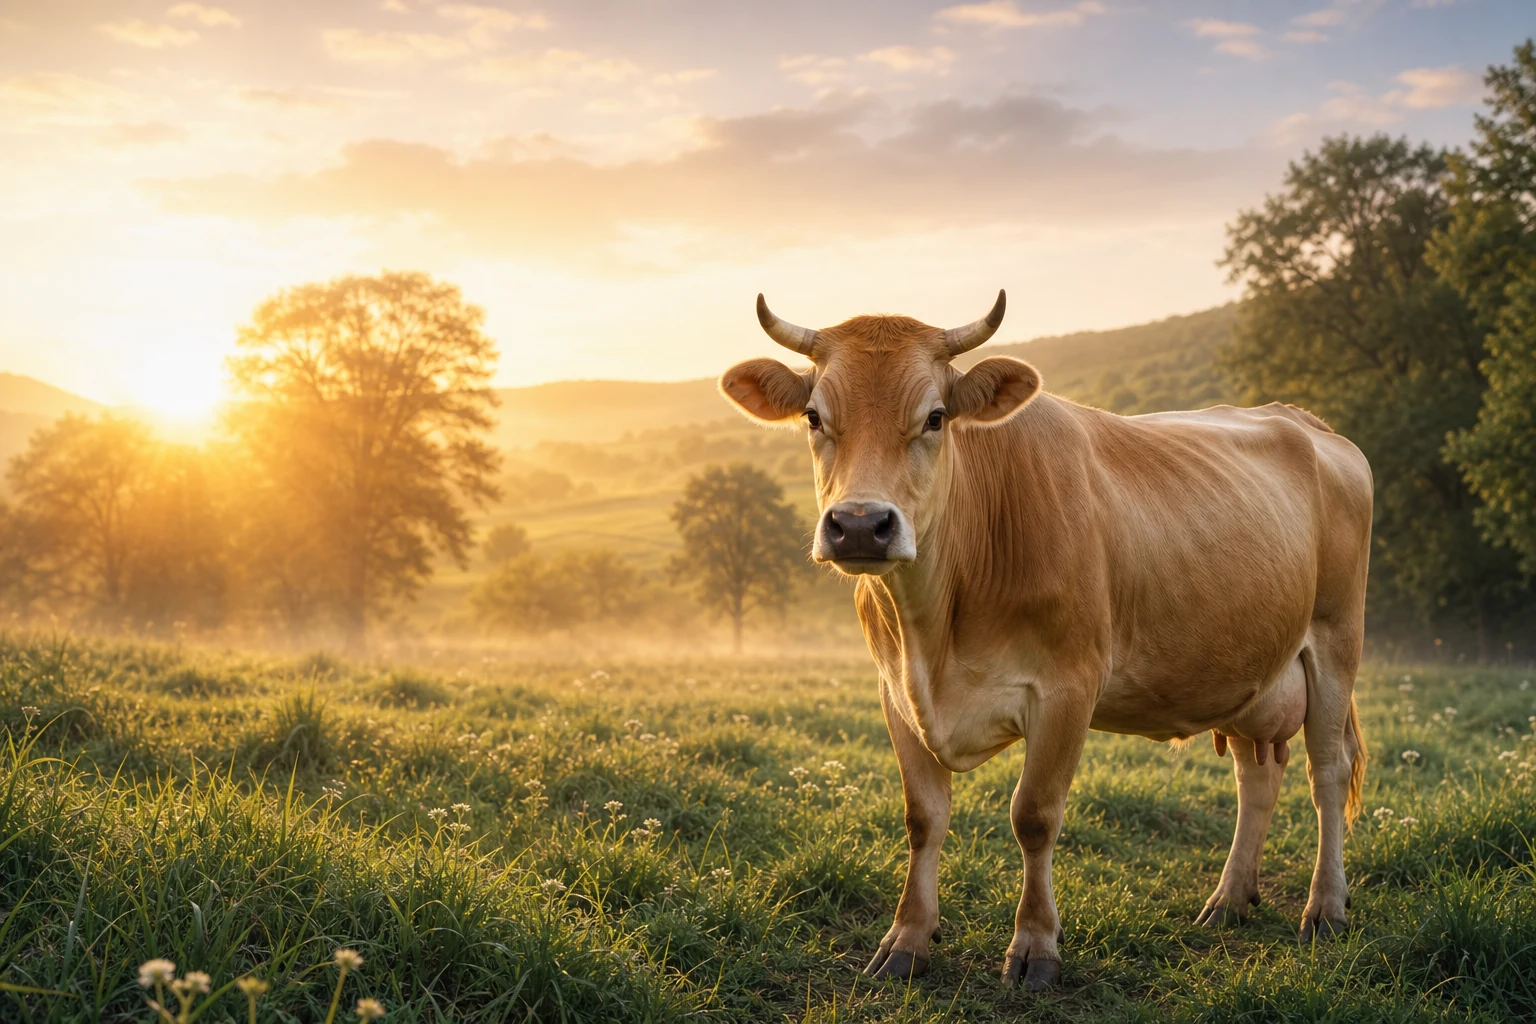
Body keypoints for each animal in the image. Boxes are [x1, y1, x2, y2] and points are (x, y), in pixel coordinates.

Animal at [718, 291, 1372, 990]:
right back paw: (1228, 899)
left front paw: (1034, 946)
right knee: (1257, 776)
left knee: (1327, 773)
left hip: (1336, 642)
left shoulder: (1068, 686)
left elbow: (1033, 815)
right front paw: (908, 939)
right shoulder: (896, 692)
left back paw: (1325, 908)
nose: (861, 525)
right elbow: (923, 818)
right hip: (1251, 670)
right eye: (815, 416)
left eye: (936, 417)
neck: (935, 631)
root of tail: (1308, 424)